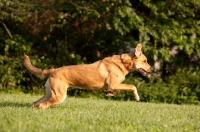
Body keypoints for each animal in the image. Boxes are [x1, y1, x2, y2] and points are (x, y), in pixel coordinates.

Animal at [23, 43, 151, 109]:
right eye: (145, 61)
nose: (152, 69)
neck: (123, 62)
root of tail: (53, 70)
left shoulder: (113, 85)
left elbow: (117, 91)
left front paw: (109, 94)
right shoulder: (113, 84)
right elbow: (132, 86)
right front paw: (137, 97)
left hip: (49, 93)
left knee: (35, 103)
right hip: (59, 95)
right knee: (43, 105)